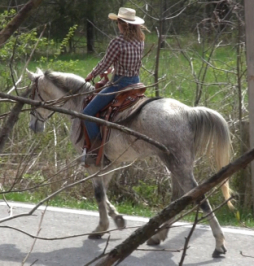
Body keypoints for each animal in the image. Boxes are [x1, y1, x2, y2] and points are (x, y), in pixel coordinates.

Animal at [26, 68, 232, 258]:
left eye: (31, 93)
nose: (32, 126)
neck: (79, 105)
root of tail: (188, 112)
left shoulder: (93, 164)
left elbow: (99, 194)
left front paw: (101, 227)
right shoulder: (110, 164)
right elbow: (104, 194)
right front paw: (117, 219)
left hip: (178, 164)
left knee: (199, 197)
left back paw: (219, 244)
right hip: (176, 164)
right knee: (179, 197)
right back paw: (158, 236)